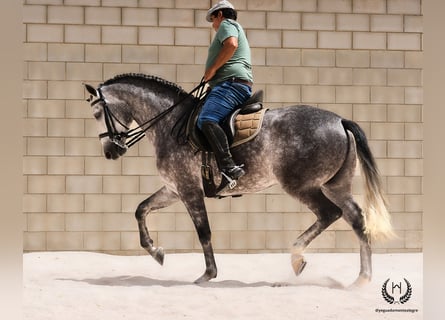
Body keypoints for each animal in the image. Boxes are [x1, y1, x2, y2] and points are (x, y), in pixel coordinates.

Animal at [84, 74, 392, 286]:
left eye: (98, 113)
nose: (111, 152)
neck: (171, 123)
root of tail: (339, 120)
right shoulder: (174, 189)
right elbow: (141, 209)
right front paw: (156, 251)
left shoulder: (188, 190)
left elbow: (204, 232)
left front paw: (208, 274)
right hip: (335, 185)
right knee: (356, 219)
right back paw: (362, 279)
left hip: (302, 186)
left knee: (329, 214)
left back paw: (297, 259)